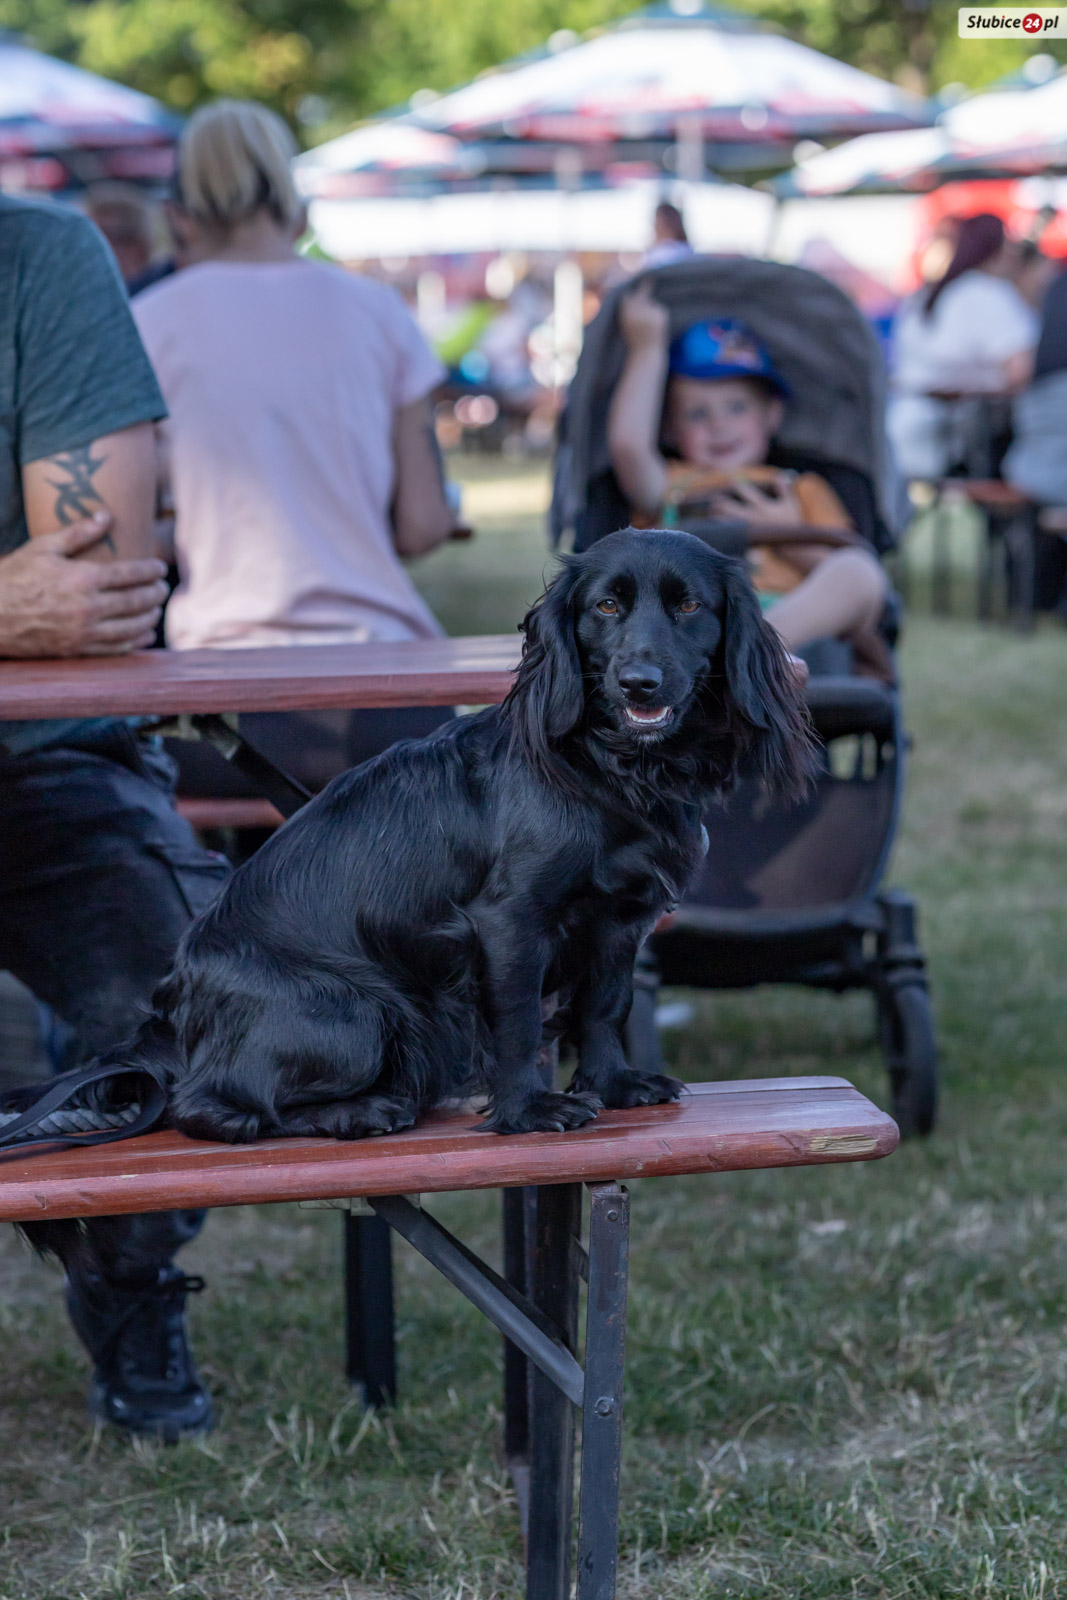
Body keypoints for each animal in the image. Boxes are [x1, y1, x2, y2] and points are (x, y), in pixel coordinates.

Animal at [113, 528, 815, 1142]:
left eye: (689, 605)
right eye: (606, 605)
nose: (638, 682)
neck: (608, 770)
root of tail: (176, 999)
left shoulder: (619, 923)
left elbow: (604, 1006)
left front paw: (614, 1085)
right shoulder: (509, 922)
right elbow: (520, 1024)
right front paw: (528, 1110)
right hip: (363, 1012)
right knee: (212, 1107)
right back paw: (358, 1113)